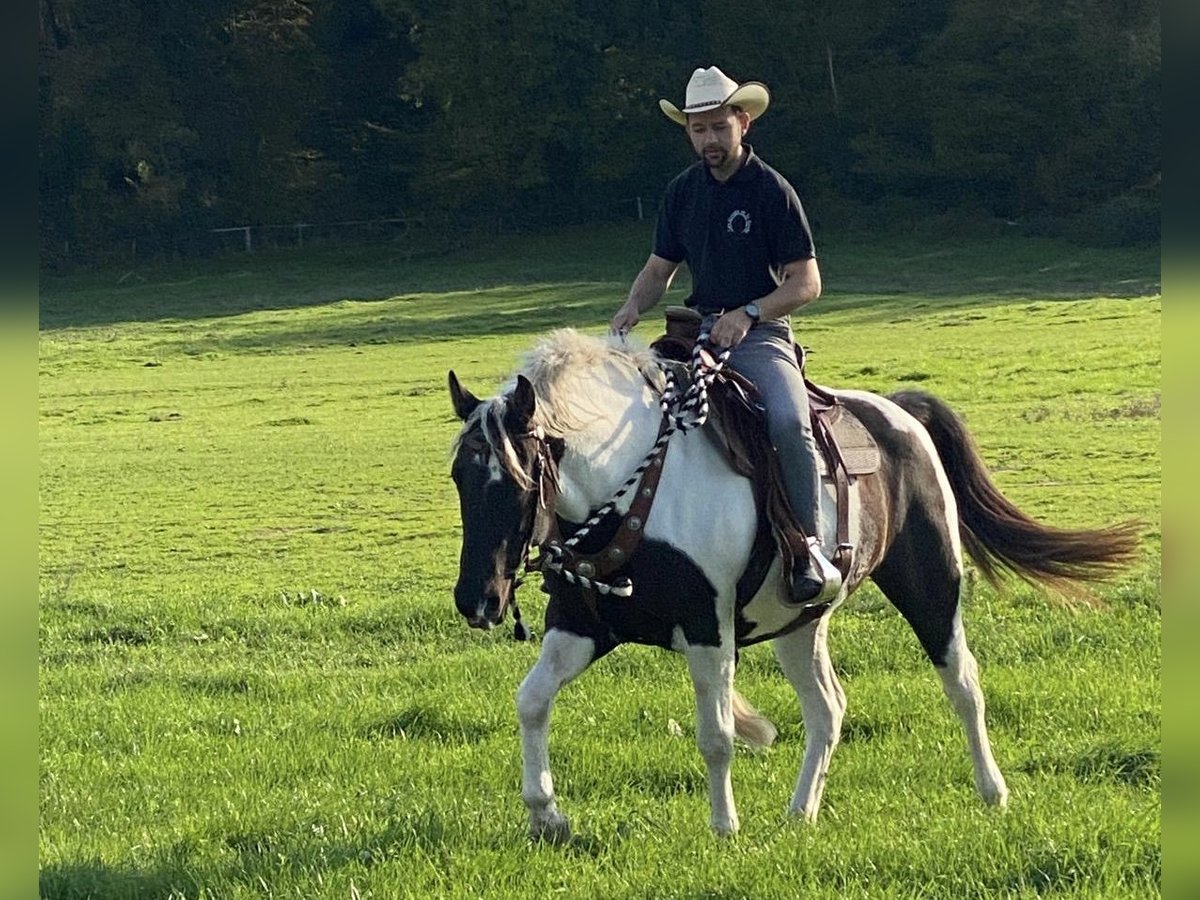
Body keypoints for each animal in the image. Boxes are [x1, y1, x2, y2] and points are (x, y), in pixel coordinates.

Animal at [448, 328, 1132, 844]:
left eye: (510, 480)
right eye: (458, 476)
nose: (476, 600)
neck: (636, 486)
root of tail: (900, 413)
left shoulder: (708, 628)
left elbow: (716, 735)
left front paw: (724, 827)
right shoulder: (581, 625)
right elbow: (531, 702)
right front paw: (546, 815)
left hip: (932, 585)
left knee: (963, 684)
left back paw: (993, 791)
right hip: (800, 625)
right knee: (828, 708)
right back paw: (801, 811)